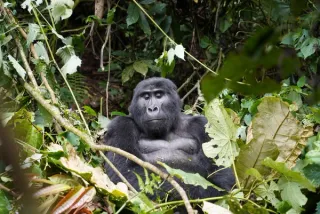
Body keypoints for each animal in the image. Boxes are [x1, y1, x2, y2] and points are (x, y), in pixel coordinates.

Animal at [105, 77, 235, 200]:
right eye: (146, 97)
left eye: (159, 95)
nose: (152, 108)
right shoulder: (121, 125)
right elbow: (123, 171)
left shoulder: (202, 125)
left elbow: (221, 171)